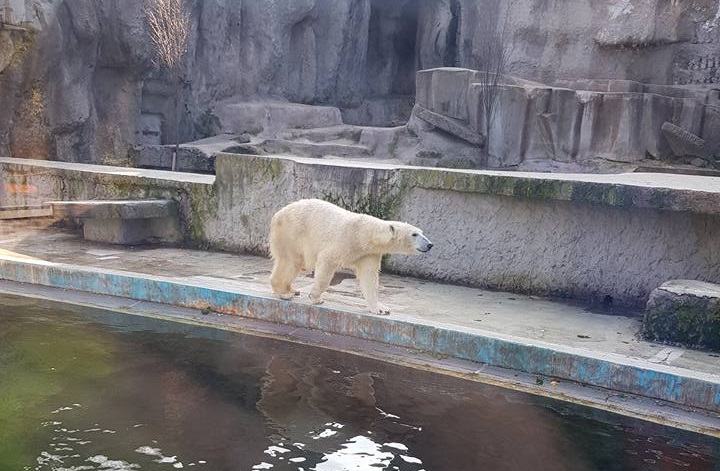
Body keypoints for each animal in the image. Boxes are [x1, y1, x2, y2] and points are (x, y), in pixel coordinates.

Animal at [269, 199, 433, 315]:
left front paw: (381, 308)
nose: (430, 244)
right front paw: (316, 298)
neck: (364, 234)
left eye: (421, 232)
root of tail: (277, 214)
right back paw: (285, 292)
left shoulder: (369, 254)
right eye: (414, 234)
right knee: (291, 261)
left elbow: (369, 278)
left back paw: (292, 289)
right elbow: (327, 261)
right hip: (292, 232)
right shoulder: (344, 240)